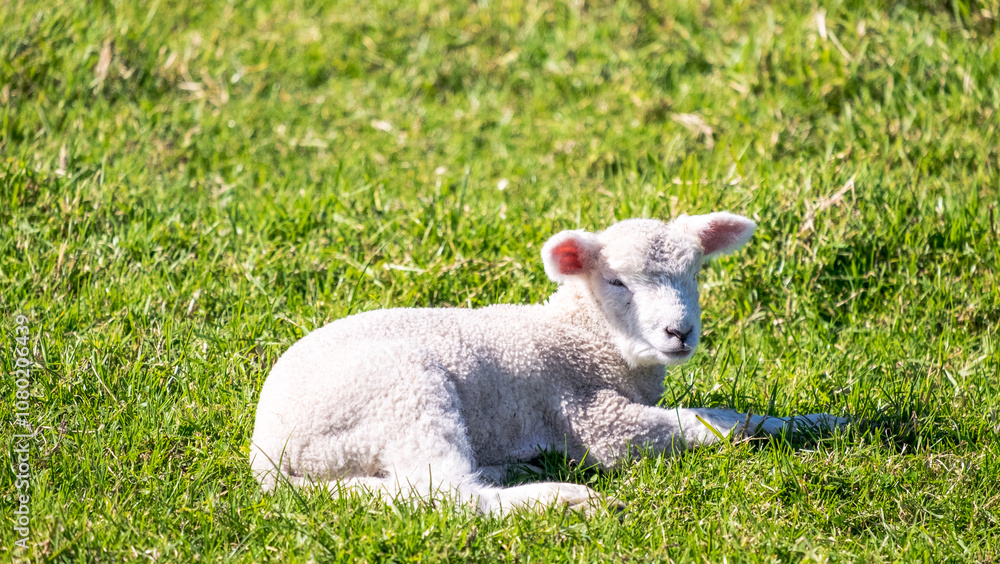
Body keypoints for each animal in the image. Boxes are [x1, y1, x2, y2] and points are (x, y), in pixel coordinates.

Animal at [249, 212, 848, 515]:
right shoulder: (591, 417)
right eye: (616, 281)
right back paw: (561, 499)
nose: (680, 332)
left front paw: (825, 420)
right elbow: (719, 422)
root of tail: (267, 453)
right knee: (443, 493)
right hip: (400, 394)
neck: (583, 335)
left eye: (696, 272)